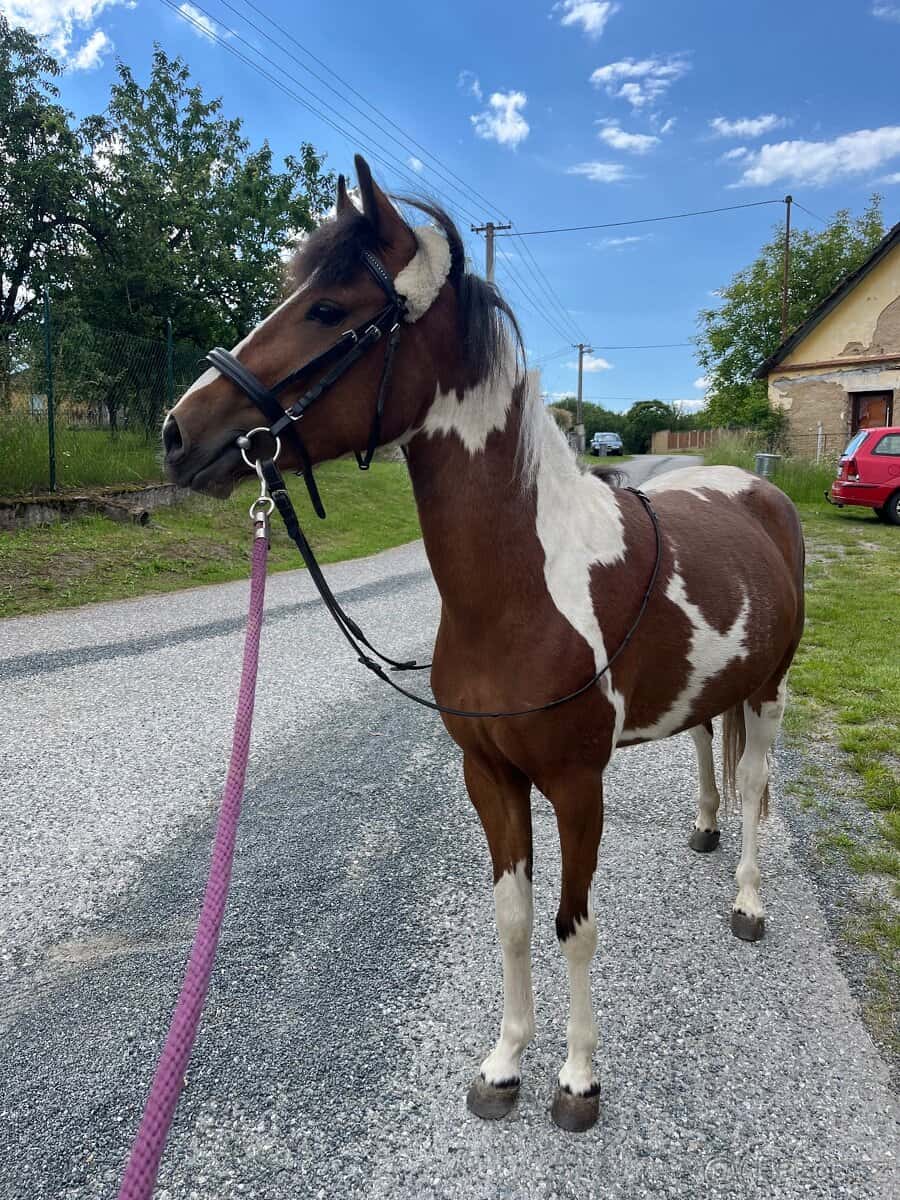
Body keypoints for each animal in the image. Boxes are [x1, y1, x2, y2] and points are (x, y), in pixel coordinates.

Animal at [162, 154, 805, 1133]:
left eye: (328, 309)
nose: (178, 431)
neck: (518, 592)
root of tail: (757, 490)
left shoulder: (576, 784)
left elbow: (575, 924)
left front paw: (577, 1079)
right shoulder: (489, 776)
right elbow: (511, 917)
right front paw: (504, 1062)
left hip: (768, 694)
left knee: (759, 788)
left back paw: (748, 899)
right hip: (711, 689)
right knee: (706, 742)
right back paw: (702, 829)